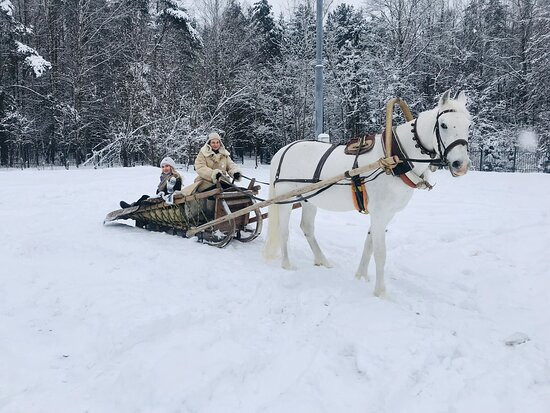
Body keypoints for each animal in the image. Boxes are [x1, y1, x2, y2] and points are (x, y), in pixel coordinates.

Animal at [266, 90, 472, 296]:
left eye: (469, 124)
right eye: (443, 125)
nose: (461, 165)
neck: (395, 159)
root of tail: (282, 151)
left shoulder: (386, 214)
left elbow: (369, 244)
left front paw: (361, 276)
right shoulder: (379, 212)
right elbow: (380, 253)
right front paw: (380, 292)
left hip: (309, 200)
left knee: (307, 228)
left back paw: (322, 260)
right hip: (285, 198)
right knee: (283, 230)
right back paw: (286, 264)